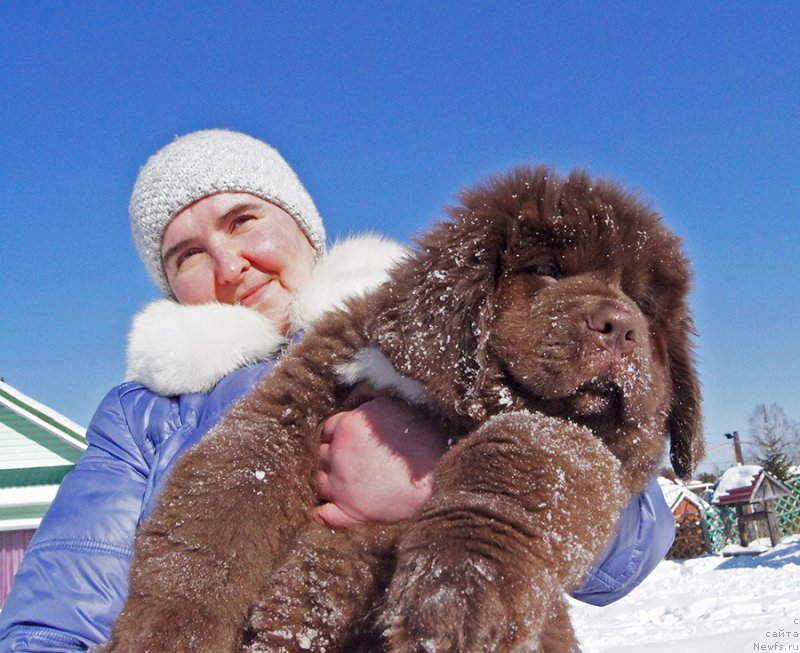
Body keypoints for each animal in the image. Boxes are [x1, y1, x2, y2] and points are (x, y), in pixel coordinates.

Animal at [104, 166, 700, 648]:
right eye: (547, 268)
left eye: (645, 303)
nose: (621, 326)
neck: (457, 401)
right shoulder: (301, 393)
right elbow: (222, 505)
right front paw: (165, 634)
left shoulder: (590, 443)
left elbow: (524, 458)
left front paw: (458, 594)